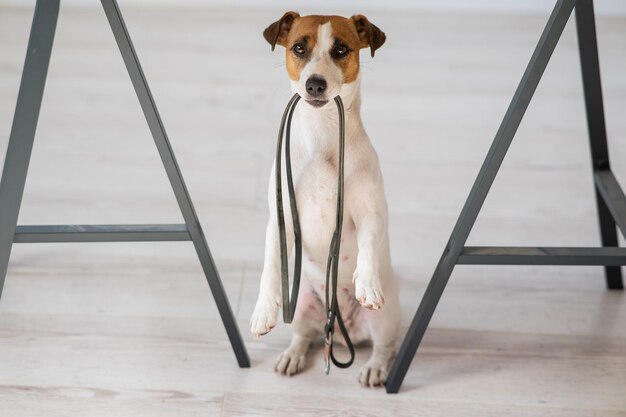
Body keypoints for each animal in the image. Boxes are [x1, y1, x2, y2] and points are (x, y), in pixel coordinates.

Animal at [250, 10, 400, 386]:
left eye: (342, 49)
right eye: (299, 48)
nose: (314, 84)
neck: (322, 134)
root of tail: (345, 332)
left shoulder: (370, 212)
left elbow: (368, 243)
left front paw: (367, 283)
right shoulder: (280, 219)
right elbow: (270, 265)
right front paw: (263, 311)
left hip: (386, 318)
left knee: (385, 347)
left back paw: (374, 367)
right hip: (304, 305)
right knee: (303, 335)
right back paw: (291, 356)